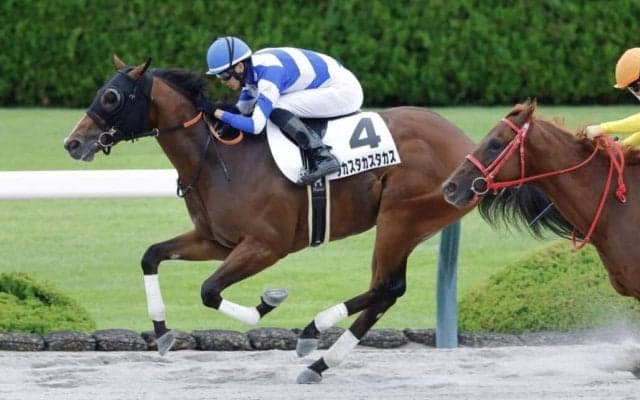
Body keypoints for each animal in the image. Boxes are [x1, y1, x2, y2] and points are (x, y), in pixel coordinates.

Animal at [63, 56, 476, 384]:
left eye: (111, 96)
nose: (72, 143)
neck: (220, 160)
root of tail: (470, 148)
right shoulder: (215, 241)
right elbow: (151, 255)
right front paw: (162, 332)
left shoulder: (266, 246)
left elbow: (209, 291)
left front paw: (269, 300)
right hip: (405, 226)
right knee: (385, 291)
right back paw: (319, 363)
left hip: (400, 218)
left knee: (388, 287)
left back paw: (312, 332)